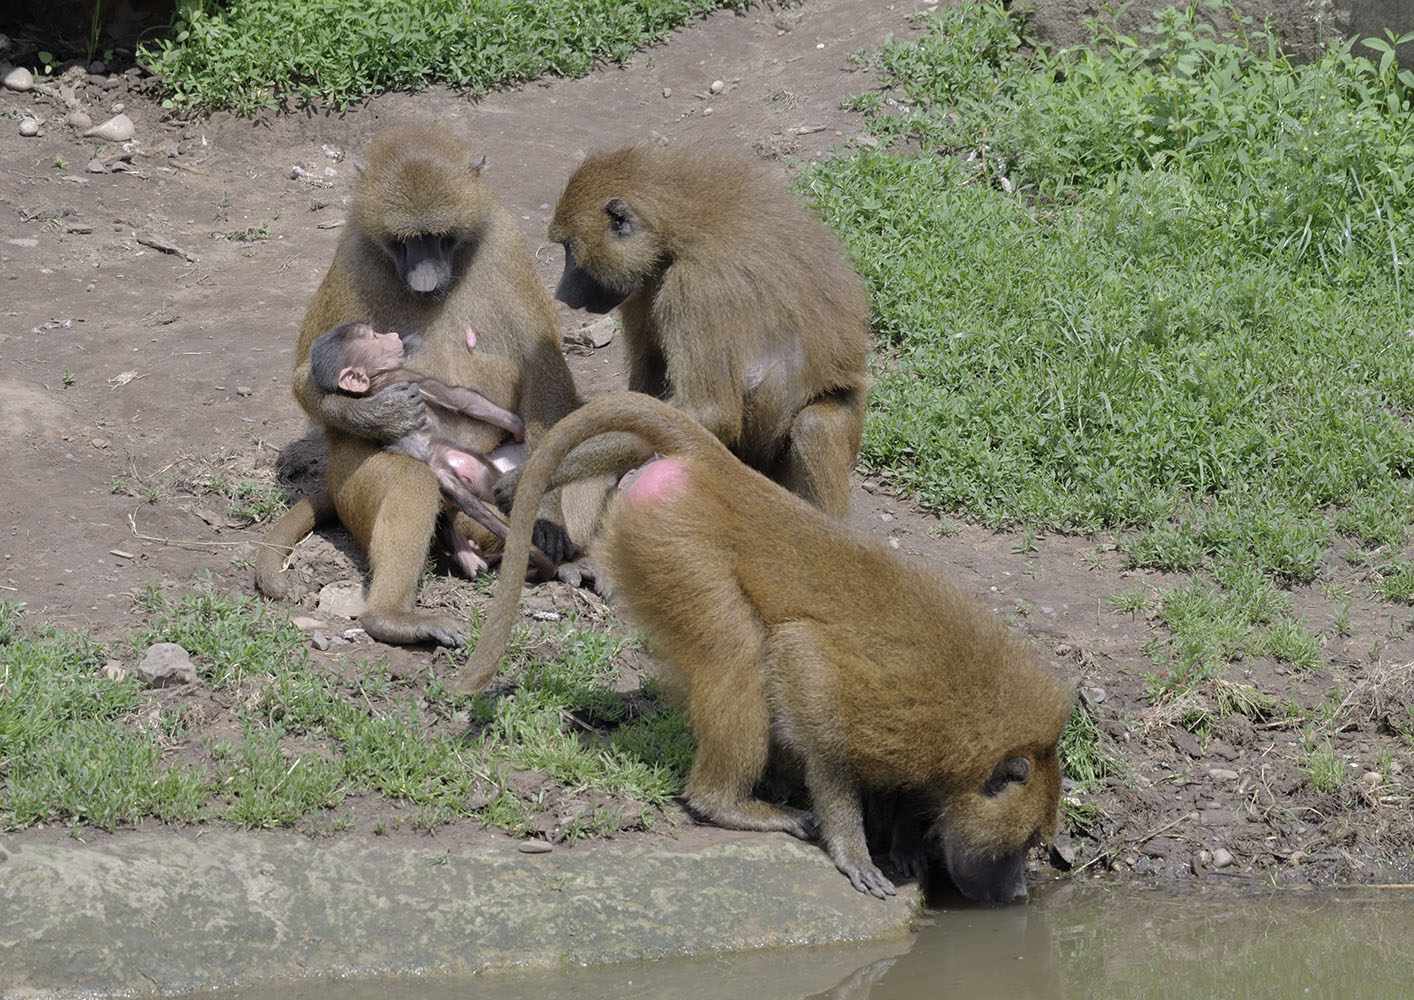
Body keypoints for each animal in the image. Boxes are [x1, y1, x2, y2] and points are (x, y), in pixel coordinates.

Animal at [253, 123, 582, 646]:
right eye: (405, 240)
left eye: (441, 238)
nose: (426, 284)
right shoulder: (354, 254)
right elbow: (306, 378)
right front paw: (380, 414)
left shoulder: (503, 240)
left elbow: (544, 371)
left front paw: (548, 515)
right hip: (355, 481)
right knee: (413, 481)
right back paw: (394, 616)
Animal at [456, 392, 1075, 904]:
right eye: (1022, 843)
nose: (1019, 893)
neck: (974, 719)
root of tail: (723, 470)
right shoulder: (895, 701)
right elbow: (801, 660)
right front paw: (854, 848)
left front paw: (903, 841)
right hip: (675, 542)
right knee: (739, 652)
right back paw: (726, 805)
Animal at [492, 144, 871, 522]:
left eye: (569, 247)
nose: (560, 293)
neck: (676, 229)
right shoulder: (645, 286)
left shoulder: (696, 289)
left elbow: (708, 412)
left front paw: (527, 479)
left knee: (815, 427)